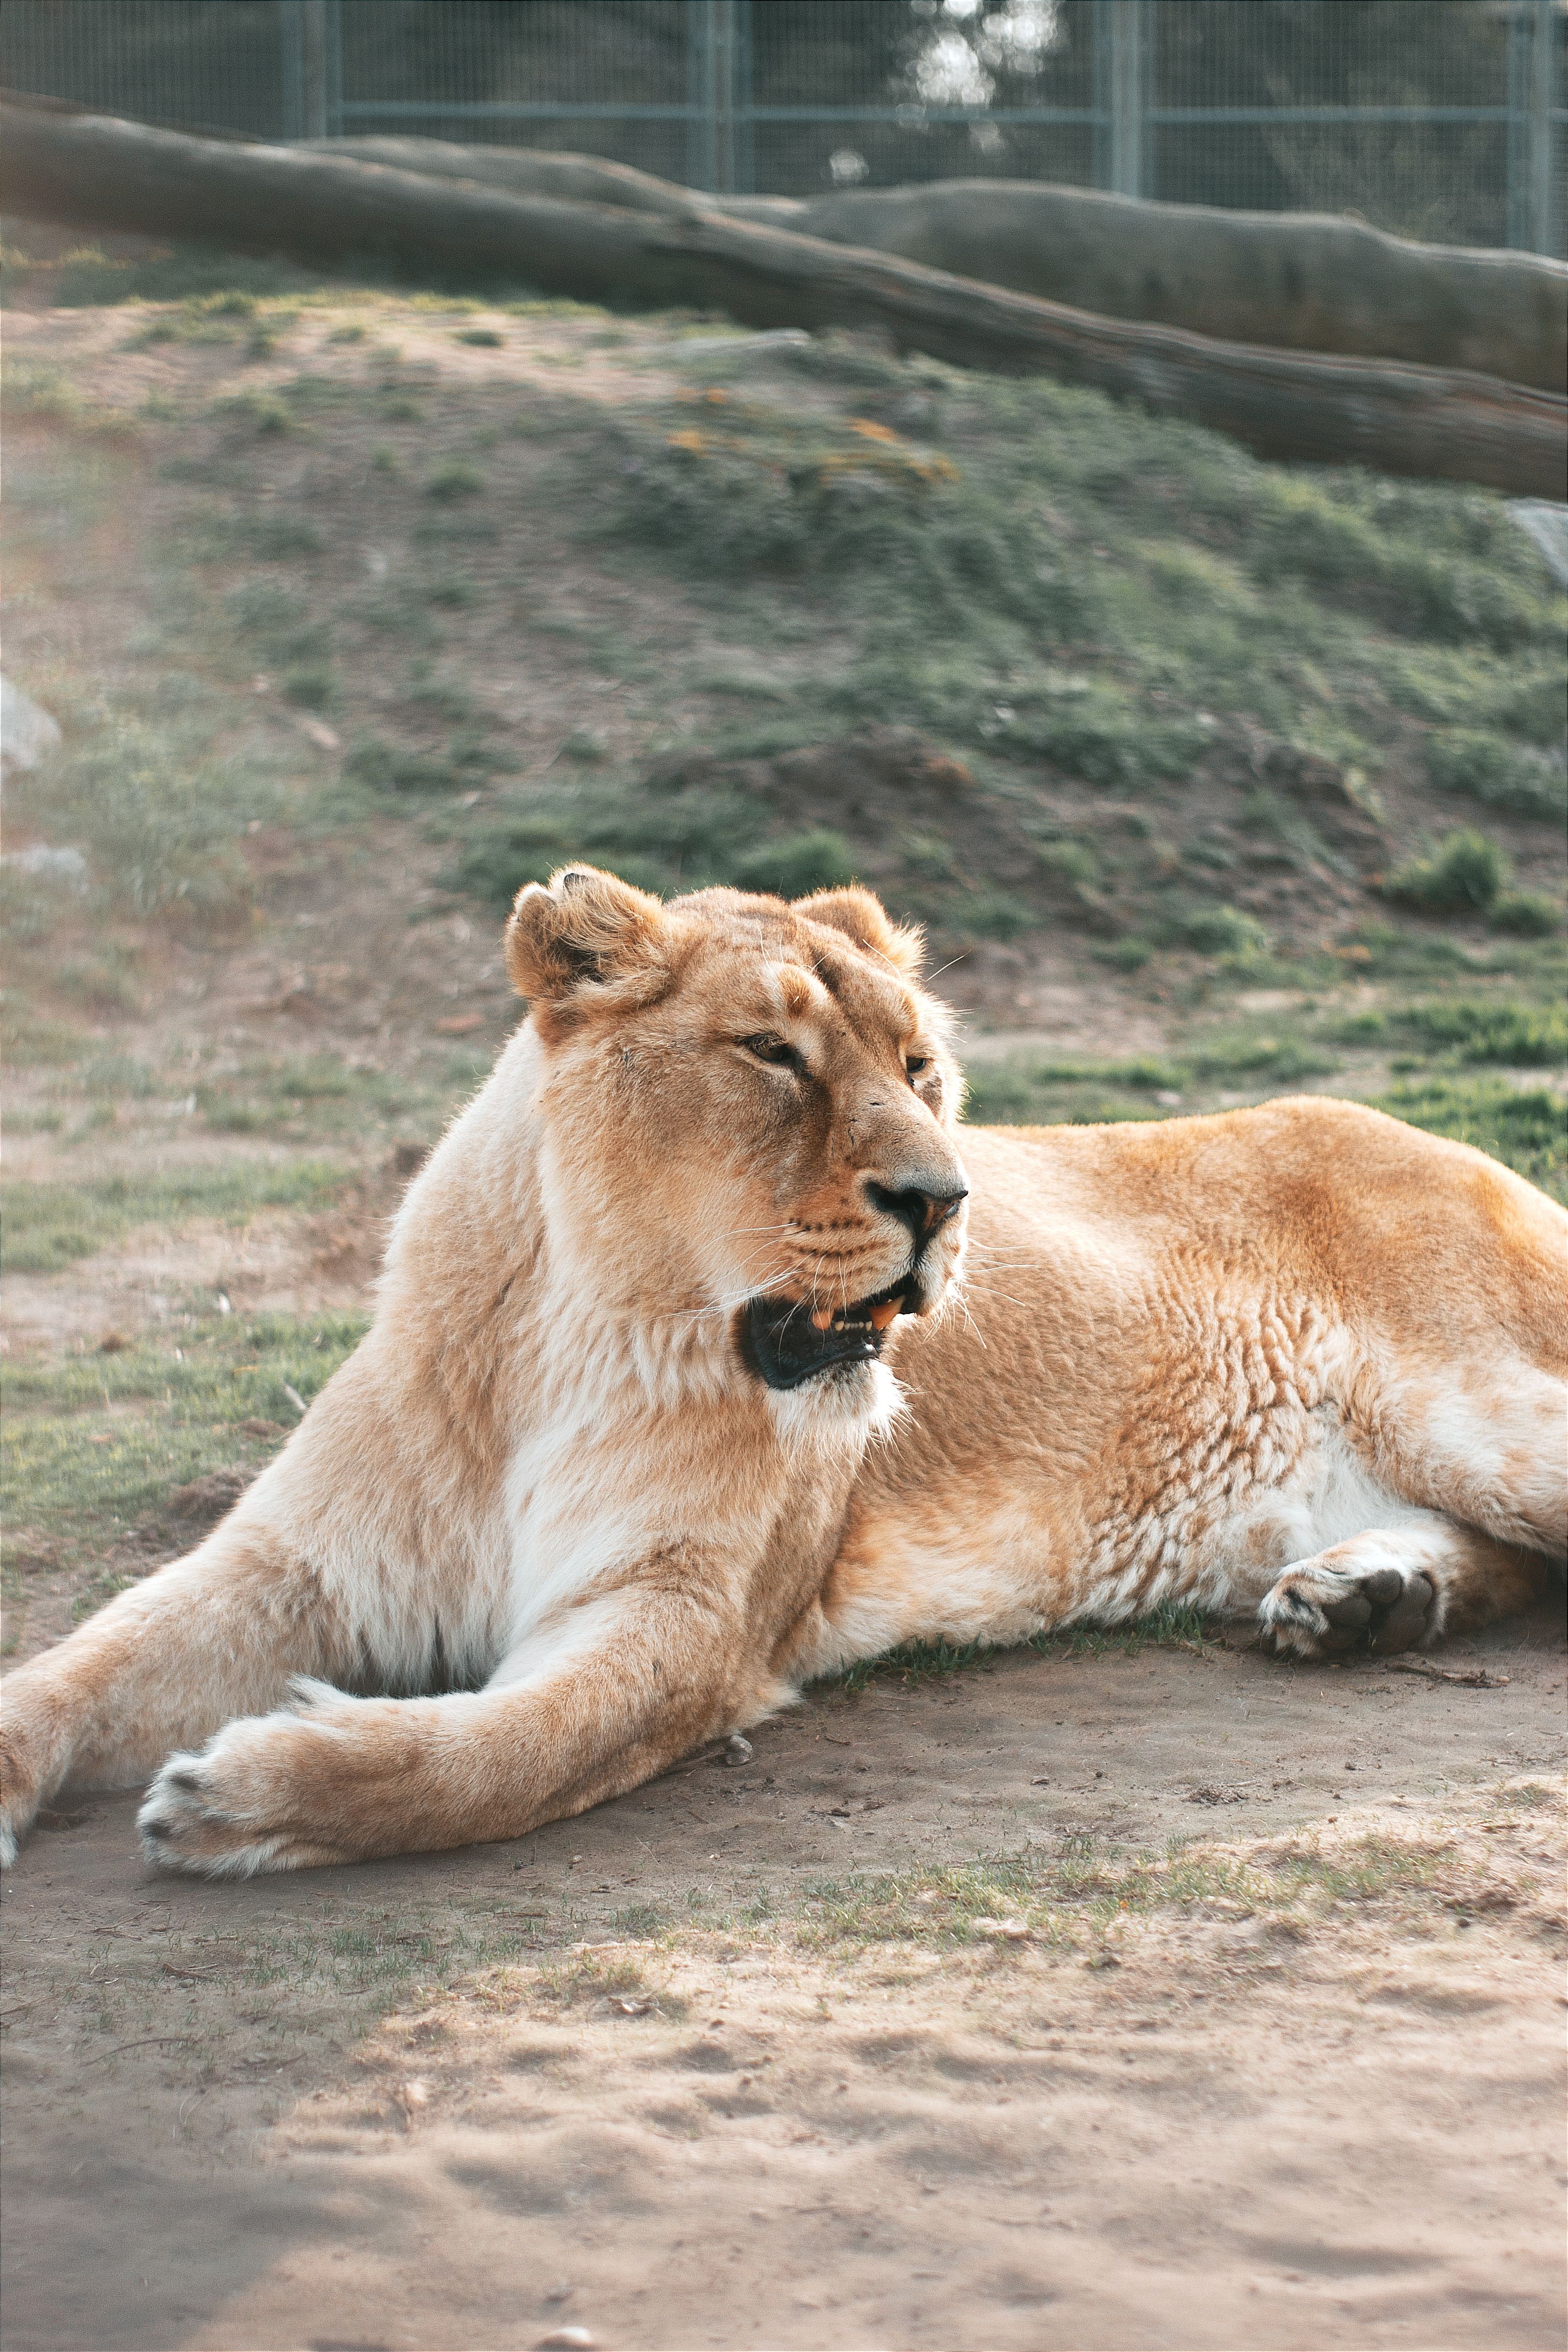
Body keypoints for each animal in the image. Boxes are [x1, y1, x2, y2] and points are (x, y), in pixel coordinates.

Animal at [2, 867, 1562, 1875]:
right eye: (771, 1054)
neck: (569, 1343)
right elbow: (77, 1663)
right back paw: (1364, 1599)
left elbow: (496, 1758)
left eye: (919, 1065)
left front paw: (248, 1792)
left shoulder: (684, 1615)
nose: (945, 1199)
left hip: (1484, 1416)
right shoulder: (296, 1564)